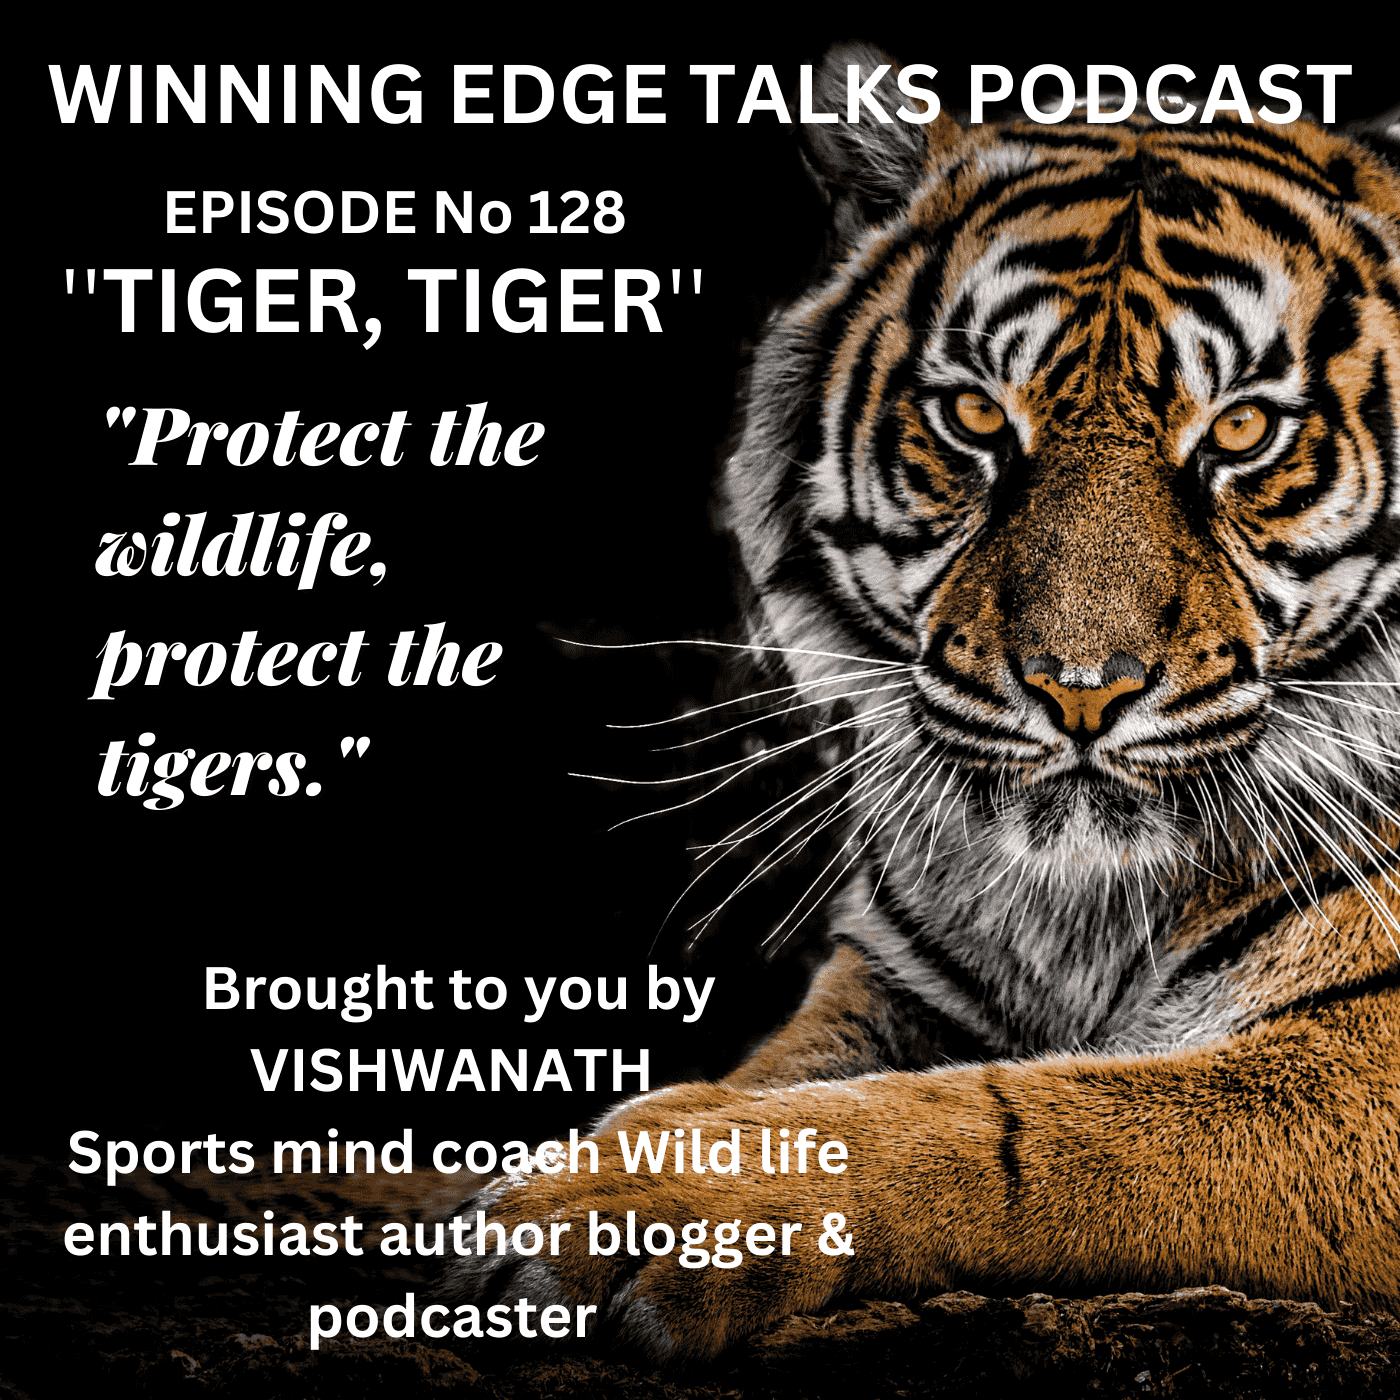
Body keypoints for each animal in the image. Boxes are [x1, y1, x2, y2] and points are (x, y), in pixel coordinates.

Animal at [445, 46, 1400, 1360]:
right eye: (977, 416)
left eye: (1244, 429)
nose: (1079, 691)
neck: (1078, 908)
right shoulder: (896, 976)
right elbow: (793, 1068)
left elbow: (1020, 1120)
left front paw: (634, 1202)